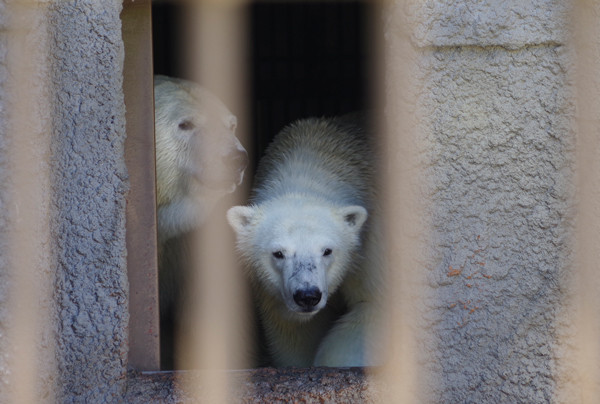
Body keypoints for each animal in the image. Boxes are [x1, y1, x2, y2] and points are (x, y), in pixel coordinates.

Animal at [225, 115, 384, 368]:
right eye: (278, 253)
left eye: (327, 251)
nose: (307, 295)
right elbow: (294, 334)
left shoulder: (371, 244)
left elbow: (371, 307)